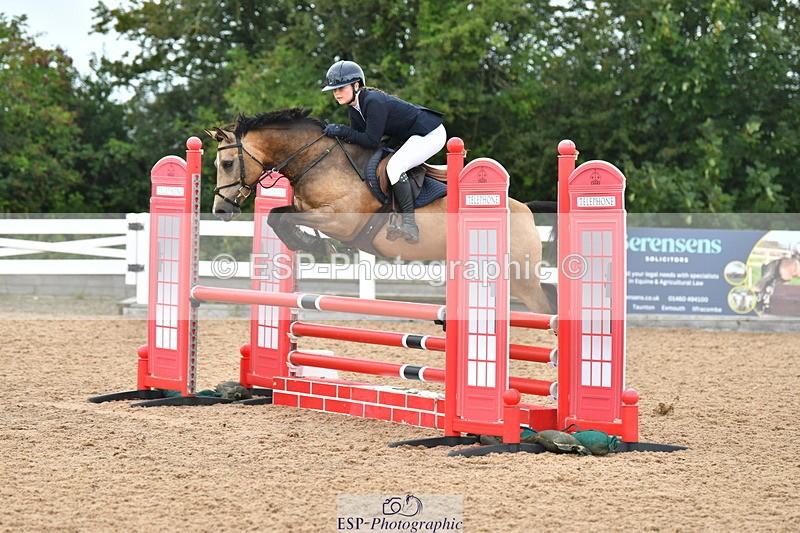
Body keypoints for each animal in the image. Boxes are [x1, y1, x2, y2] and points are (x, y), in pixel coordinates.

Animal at [205, 107, 557, 314]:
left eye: (227, 163)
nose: (220, 210)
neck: (317, 160)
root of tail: (525, 210)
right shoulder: (305, 209)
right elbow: (276, 216)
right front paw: (312, 243)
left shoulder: (342, 220)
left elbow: (281, 217)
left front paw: (319, 245)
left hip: (519, 276)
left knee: (546, 308)